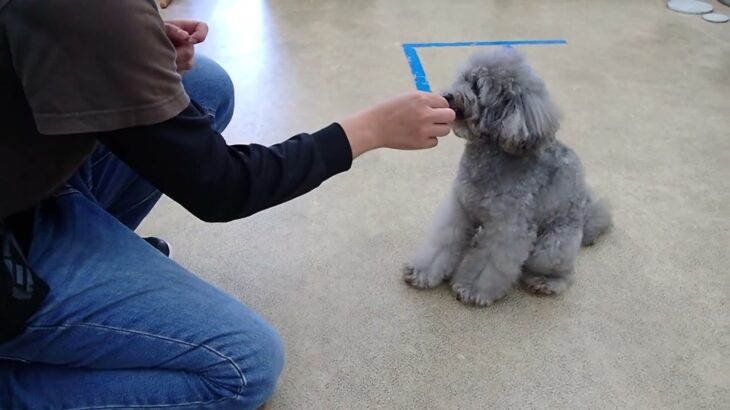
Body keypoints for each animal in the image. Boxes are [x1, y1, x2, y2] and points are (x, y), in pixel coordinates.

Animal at [404, 47, 608, 304]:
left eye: (477, 85)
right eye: (463, 78)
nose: (448, 96)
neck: (489, 157)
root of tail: (584, 215)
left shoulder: (507, 228)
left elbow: (488, 264)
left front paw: (471, 289)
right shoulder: (459, 209)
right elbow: (443, 242)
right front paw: (422, 272)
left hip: (551, 249)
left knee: (564, 273)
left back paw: (546, 282)